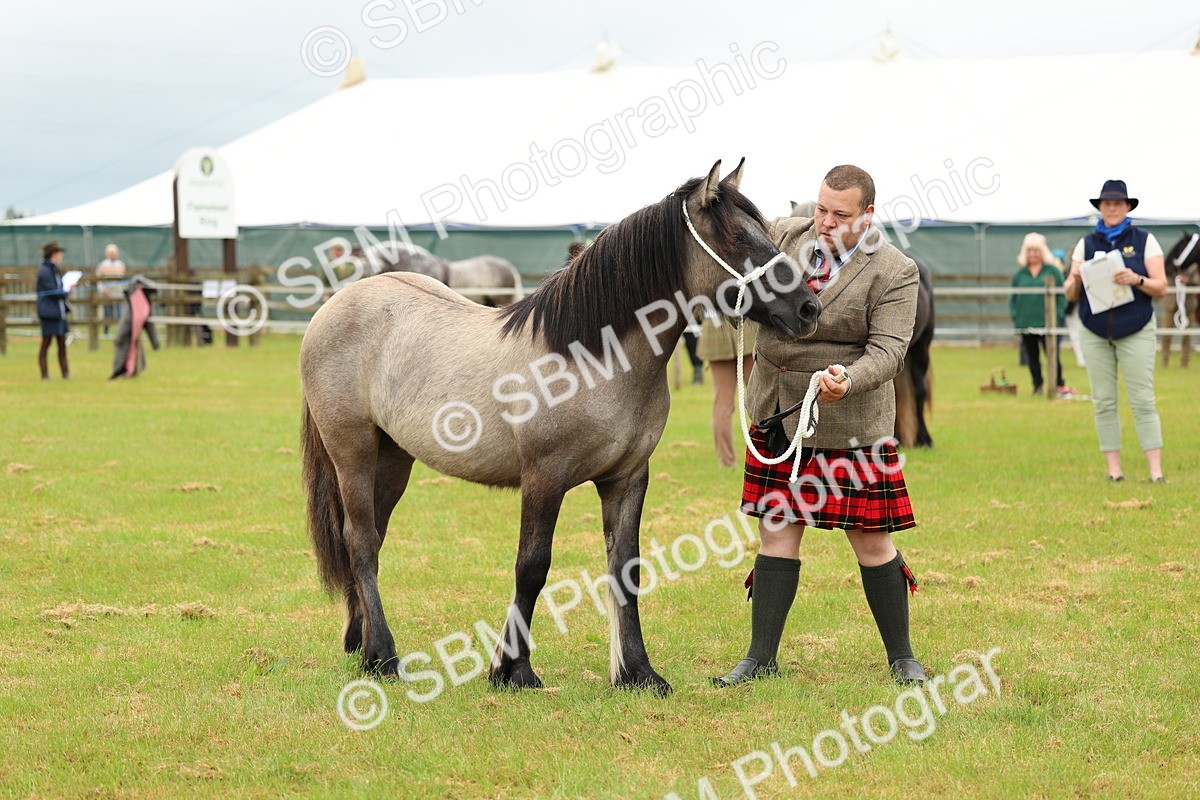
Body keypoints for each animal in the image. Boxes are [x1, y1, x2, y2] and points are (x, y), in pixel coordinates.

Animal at [300, 160, 821, 695]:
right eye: (736, 237)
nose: (808, 308)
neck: (591, 358)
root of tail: (337, 303)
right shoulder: (544, 476)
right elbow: (532, 567)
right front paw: (513, 670)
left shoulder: (627, 478)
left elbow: (625, 569)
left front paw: (637, 672)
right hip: (353, 452)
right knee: (361, 542)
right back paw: (383, 657)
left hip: (392, 458)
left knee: (370, 537)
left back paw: (359, 642)